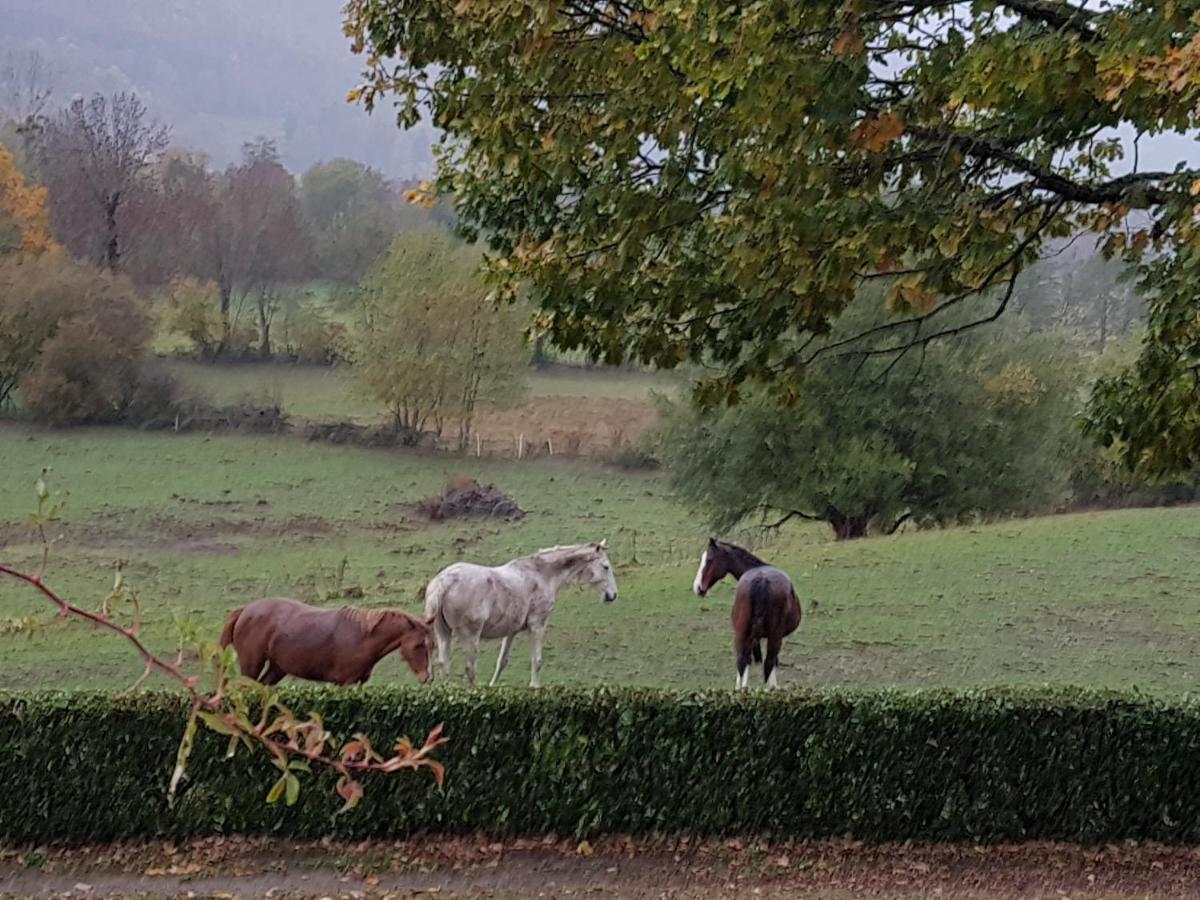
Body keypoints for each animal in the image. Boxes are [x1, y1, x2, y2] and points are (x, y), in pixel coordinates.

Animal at [220, 600, 436, 691]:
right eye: (418, 645)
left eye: (432, 645)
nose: (427, 677)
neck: (362, 636)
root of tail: (245, 610)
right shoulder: (345, 683)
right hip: (252, 666)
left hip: (276, 669)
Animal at [424, 542, 619, 691]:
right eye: (606, 567)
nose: (613, 595)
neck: (542, 574)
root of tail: (443, 582)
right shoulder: (537, 625)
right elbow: (537, 660)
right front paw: (535, 687)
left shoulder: (511, 631)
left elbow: (502, 661)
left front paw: (492, 685)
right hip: (470, 636)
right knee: (469, 668)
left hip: (443, 632)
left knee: (444, 665)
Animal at [691, 542, 801, 691]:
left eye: (709, 559)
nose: (697, 587)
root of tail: (761, 579)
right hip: (774, 637)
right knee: (767, 663)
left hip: (742, 633)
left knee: (742, 661)